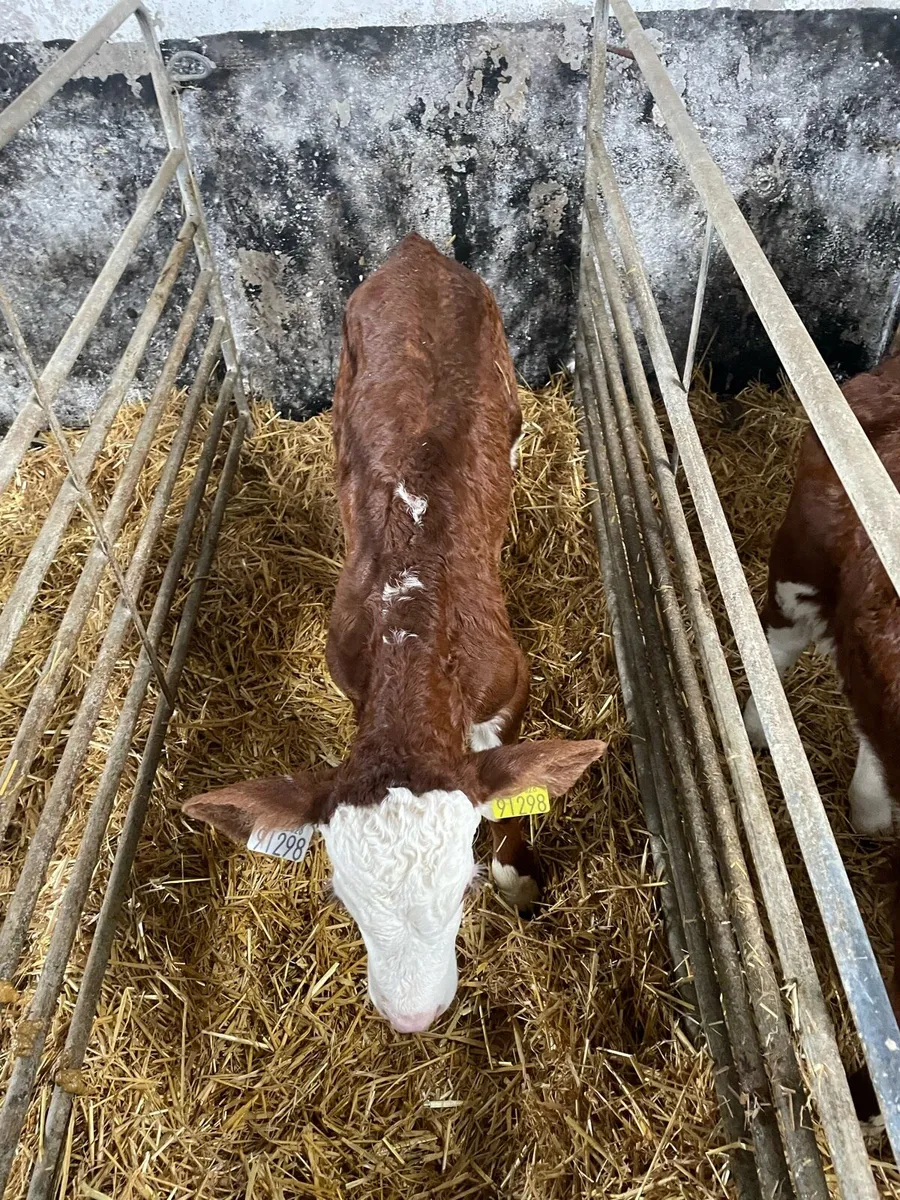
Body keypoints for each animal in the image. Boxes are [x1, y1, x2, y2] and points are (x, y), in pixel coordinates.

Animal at [184, 234, 606, 1034]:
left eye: (463, 886)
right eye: (342, 900)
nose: (412, 1017)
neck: (413, 621)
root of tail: (416, 251)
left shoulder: (511, 683)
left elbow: (509, 800)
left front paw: (519, 882)